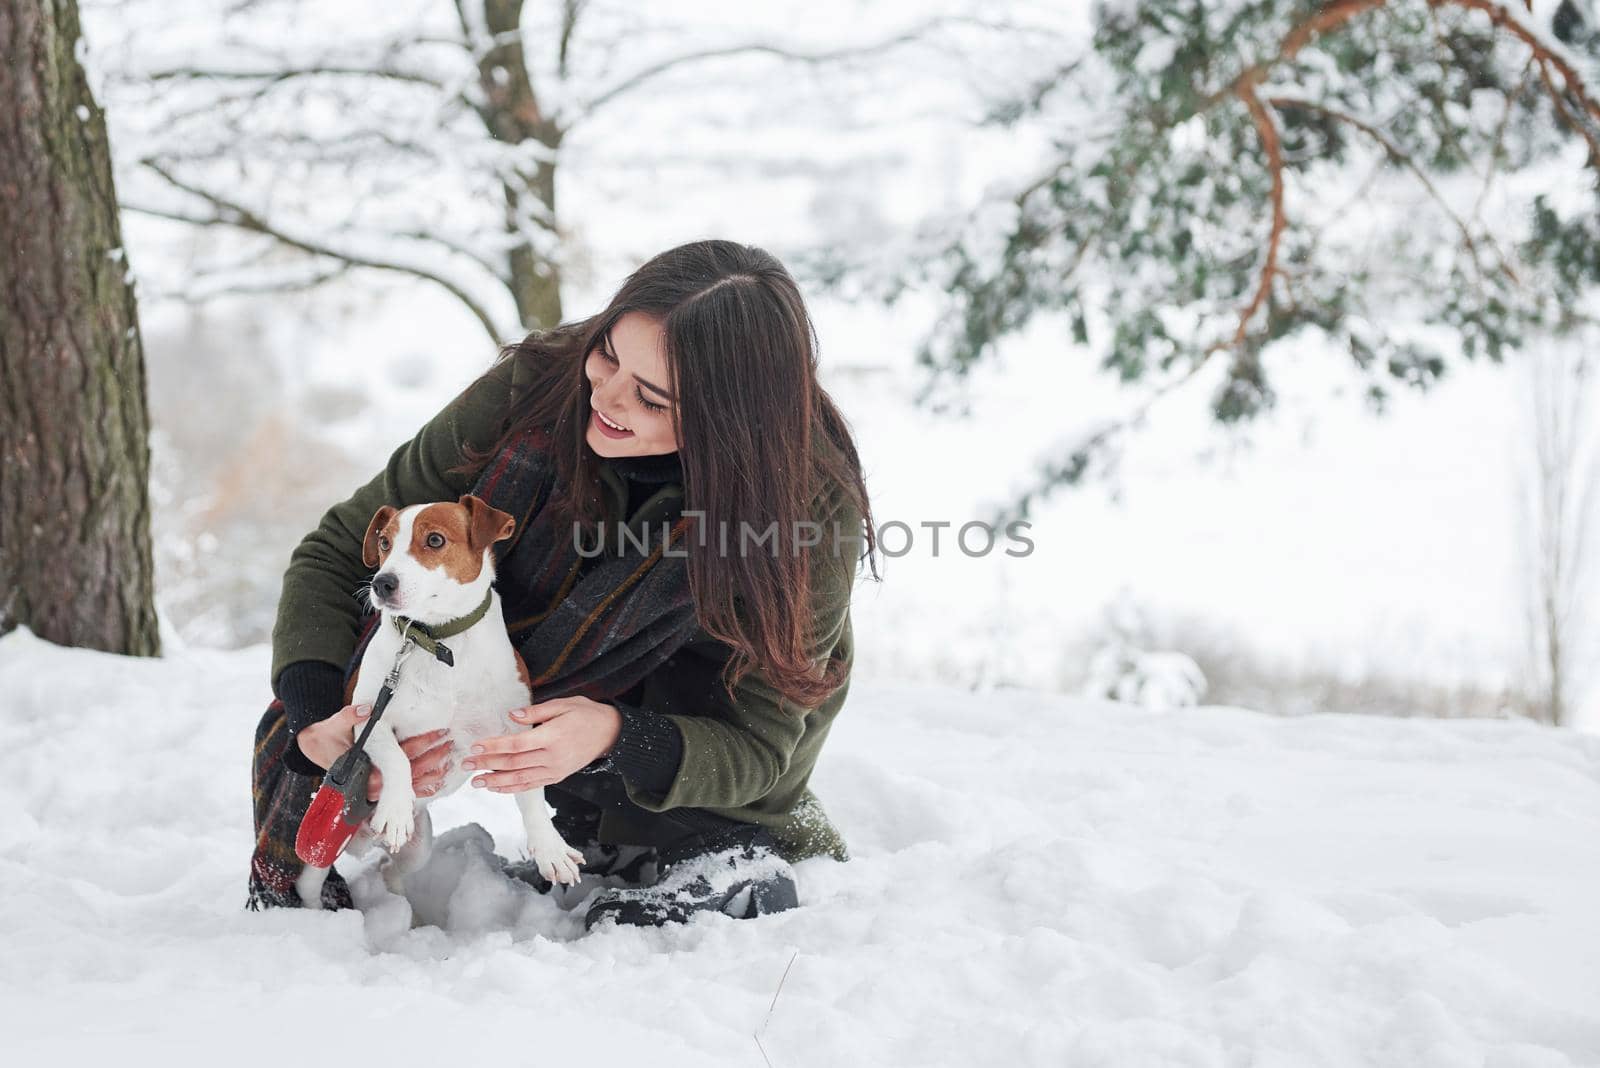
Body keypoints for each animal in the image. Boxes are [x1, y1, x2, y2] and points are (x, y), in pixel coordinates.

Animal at [291, 495, 585, 908]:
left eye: (434, 540)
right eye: (384, 542)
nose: (382, 583)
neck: (437, 639)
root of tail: (365, 843)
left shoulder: (516, 730)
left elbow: (530, 793)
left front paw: (550, 849)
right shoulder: (368, 718)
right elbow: (396, 759)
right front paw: (395, 810)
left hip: (419, 846)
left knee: (392, 872)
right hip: (320, 841)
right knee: (309, 882)